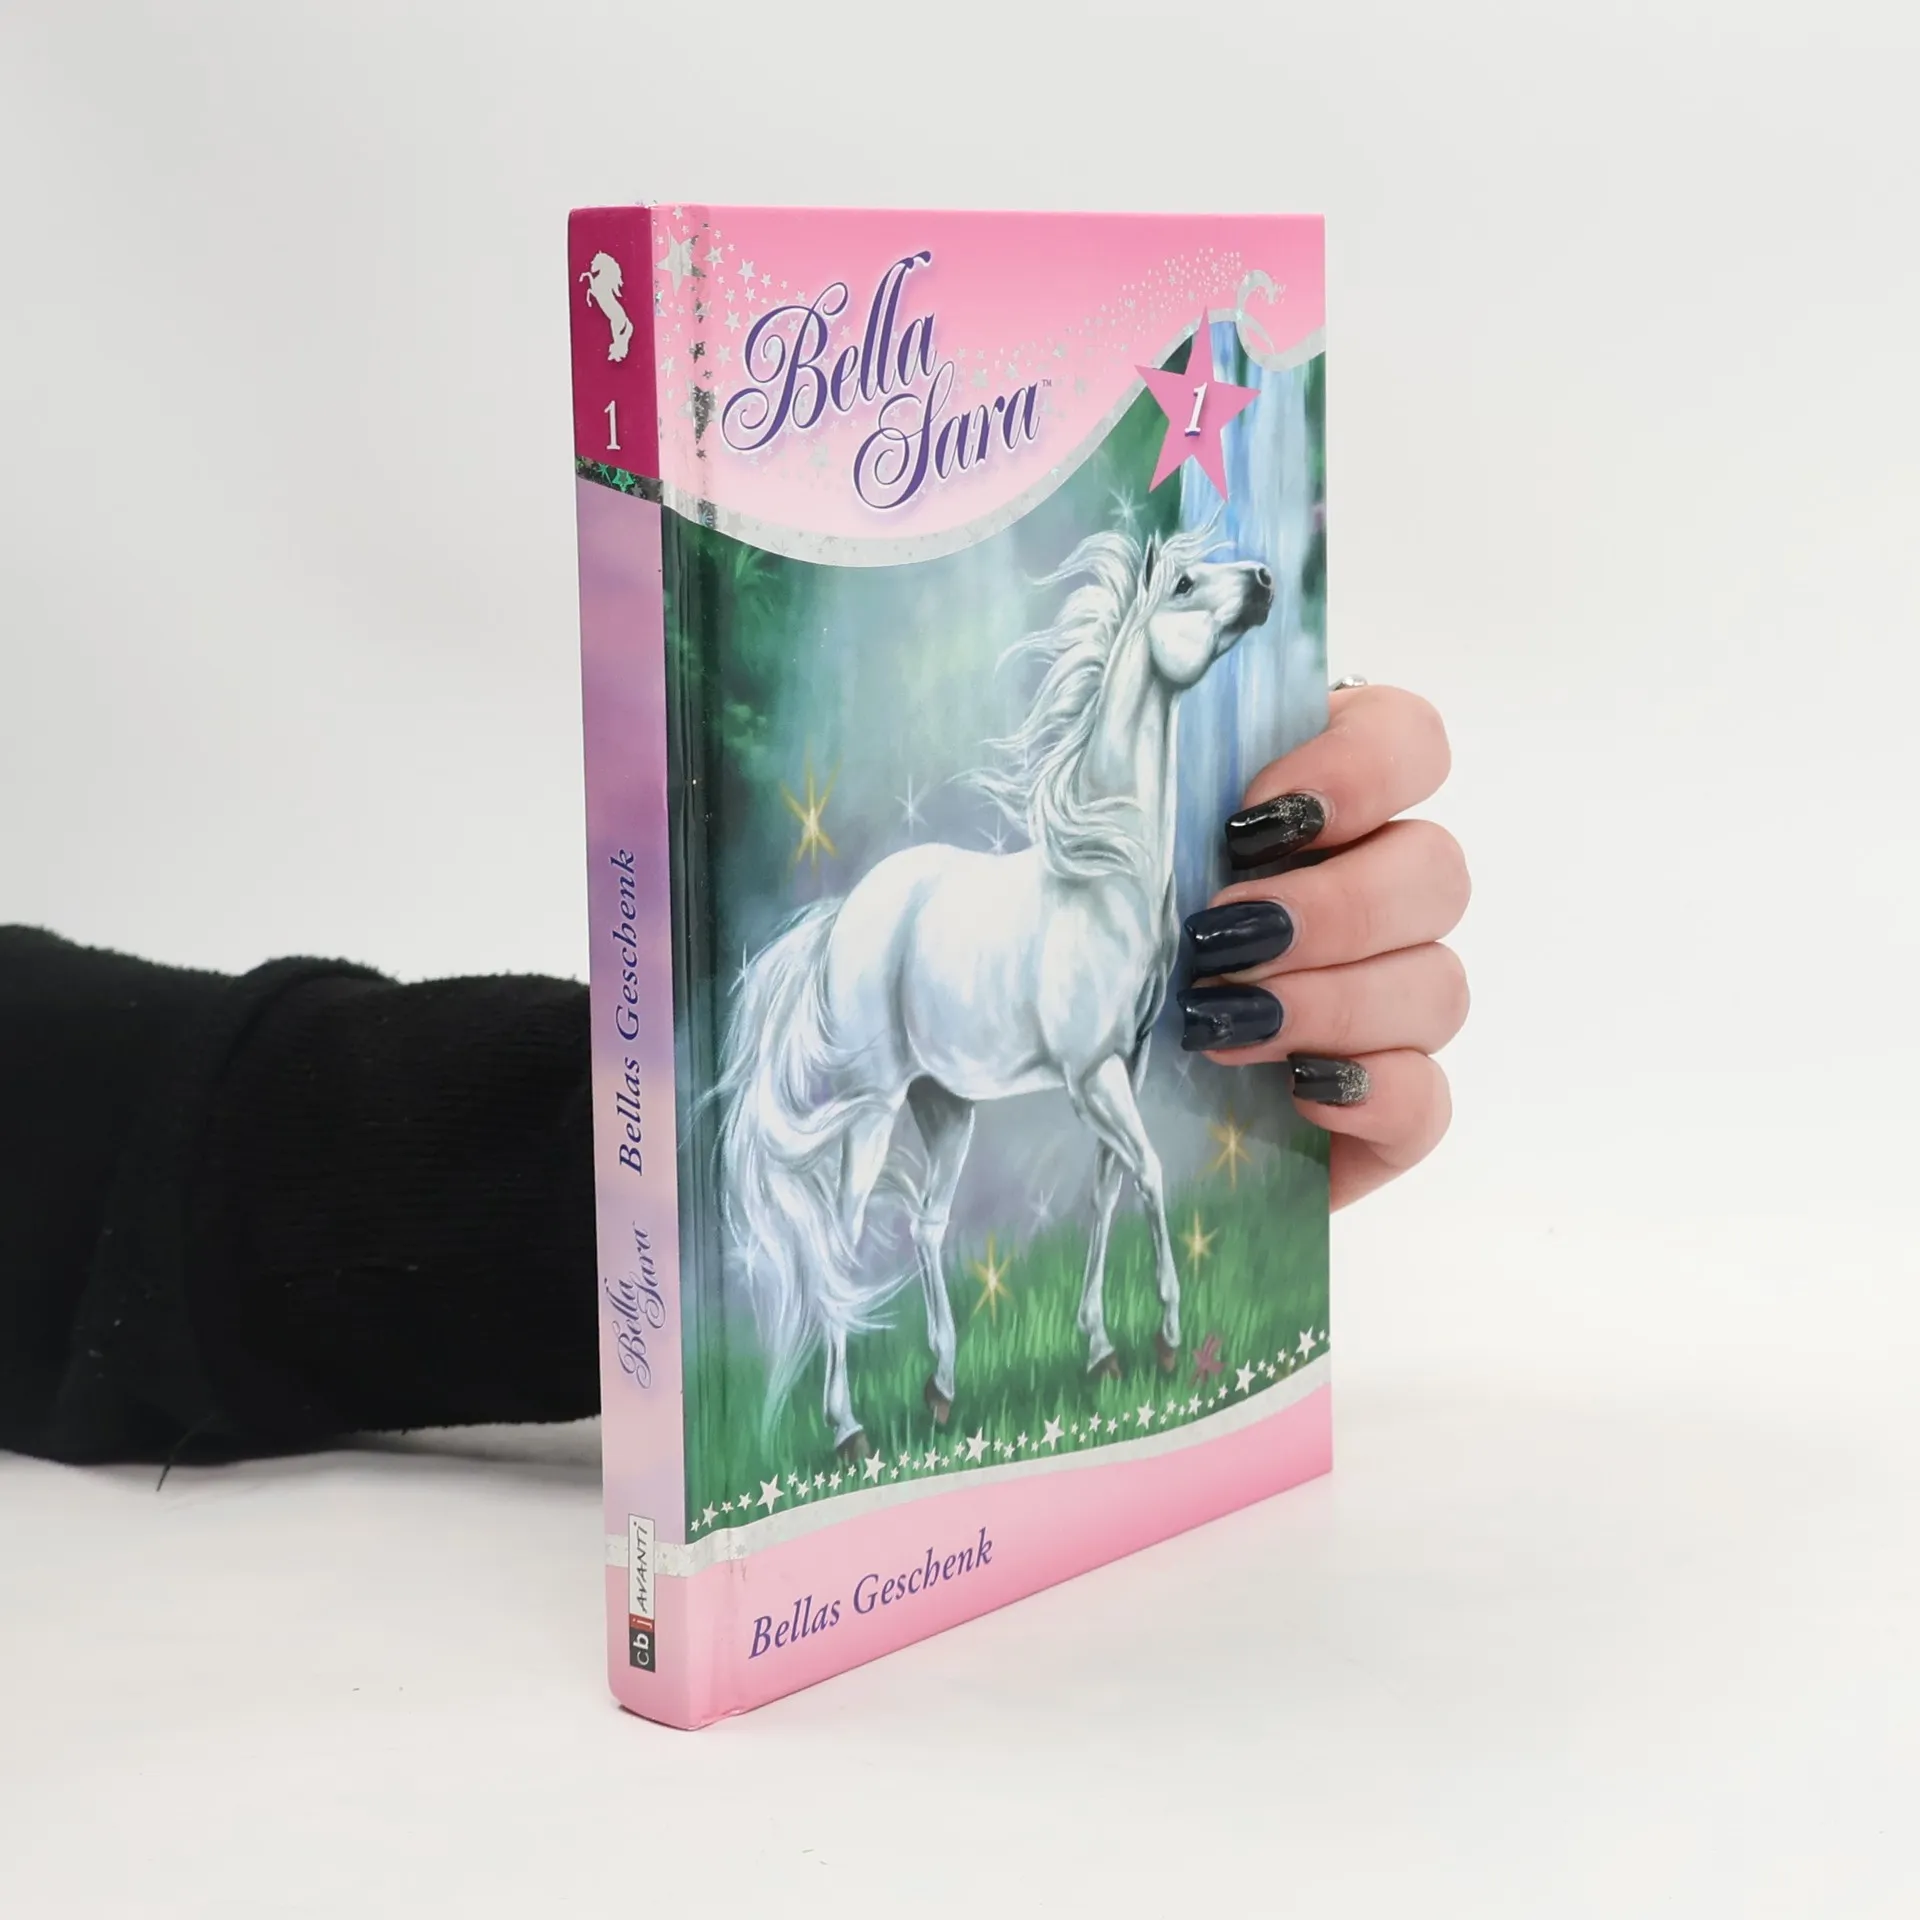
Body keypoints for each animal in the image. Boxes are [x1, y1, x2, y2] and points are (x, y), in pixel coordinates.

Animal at [714, 521, 1274, 1459]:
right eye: (1186, 585)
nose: (1266, 579)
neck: (1103, 874)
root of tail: (840, 920)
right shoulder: (1093, 1078)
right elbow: (1154, 1174)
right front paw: (1165, 1338)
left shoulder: (1125, 1069)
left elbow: (1110, 1190)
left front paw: (1101, 1352)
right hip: (873, 1112)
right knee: (841, 1242)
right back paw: (848, 1431)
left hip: (946, 1107)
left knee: (928, 1223)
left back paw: (942, 1389)